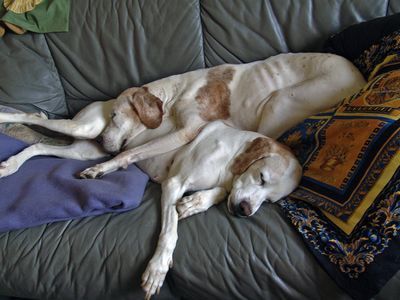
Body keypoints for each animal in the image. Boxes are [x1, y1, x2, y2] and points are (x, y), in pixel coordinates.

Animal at [0, 52, 364, 298]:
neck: (177, 92)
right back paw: (12, 125)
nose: (105, 141)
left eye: (117, 116)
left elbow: (136, 156)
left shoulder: (187, 132)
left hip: (276, 102)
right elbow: (137, 160)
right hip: (83, 132)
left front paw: (193, 203)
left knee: (40, 140)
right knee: (37, 125)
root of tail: (358, 76)